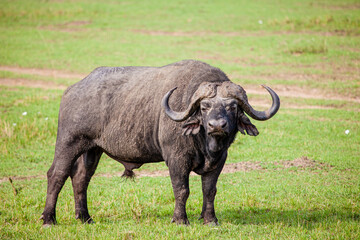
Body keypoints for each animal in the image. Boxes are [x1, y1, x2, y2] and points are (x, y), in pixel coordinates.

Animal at [41, 59, 278, 225]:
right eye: (204, 107)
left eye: (232, 106)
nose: (217, 126)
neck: (205, 143)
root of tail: (72, 90)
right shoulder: (176, 159)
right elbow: (181, 189)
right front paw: (180, 220)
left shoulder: (219, 161)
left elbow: (210, 190)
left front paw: (210, 219)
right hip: (69, 142)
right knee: (57, 174)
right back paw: (49, 219)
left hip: (92, 149)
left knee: (81, 178)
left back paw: (85, 218)